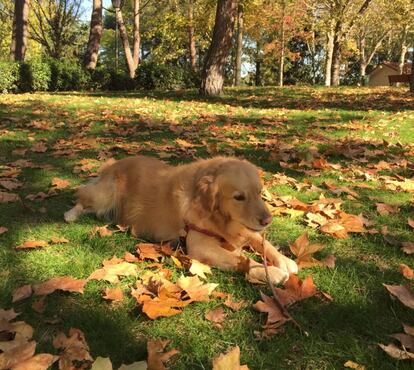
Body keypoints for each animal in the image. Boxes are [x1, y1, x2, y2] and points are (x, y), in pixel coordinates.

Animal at [64, 155, 298, 284]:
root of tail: (113, 164)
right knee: (81, 197)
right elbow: (241, 258)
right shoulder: (200, 246)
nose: (267, 220)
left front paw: (284, 261)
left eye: (259, 192)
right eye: (239, 197)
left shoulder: (243, 230)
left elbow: (264, 243)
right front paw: (271, 272)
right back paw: (71, 214)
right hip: (105, 194)